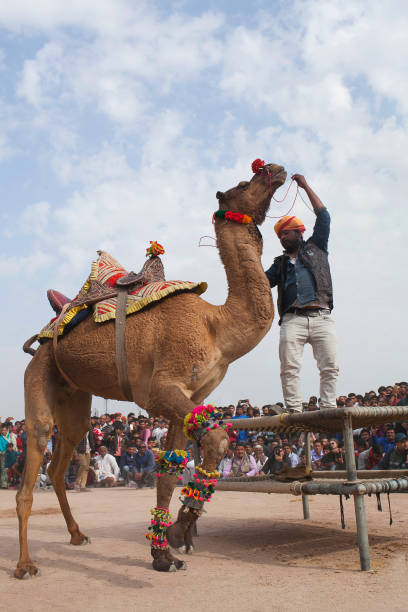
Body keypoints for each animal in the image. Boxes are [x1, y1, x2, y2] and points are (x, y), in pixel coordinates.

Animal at [15, 160, 286, 576]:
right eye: (245, 182)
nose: (276, 168)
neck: (216, 325)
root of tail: (44, 335)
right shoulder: (162, 389)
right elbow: (217, 438)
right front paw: (179, 532)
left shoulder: (189, 397)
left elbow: (171, 472)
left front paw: (164, 552)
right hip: (40, 374)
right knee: (36, 452)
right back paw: (25, 564)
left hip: (74, 395)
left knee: (62, 464)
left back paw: (78, 535)